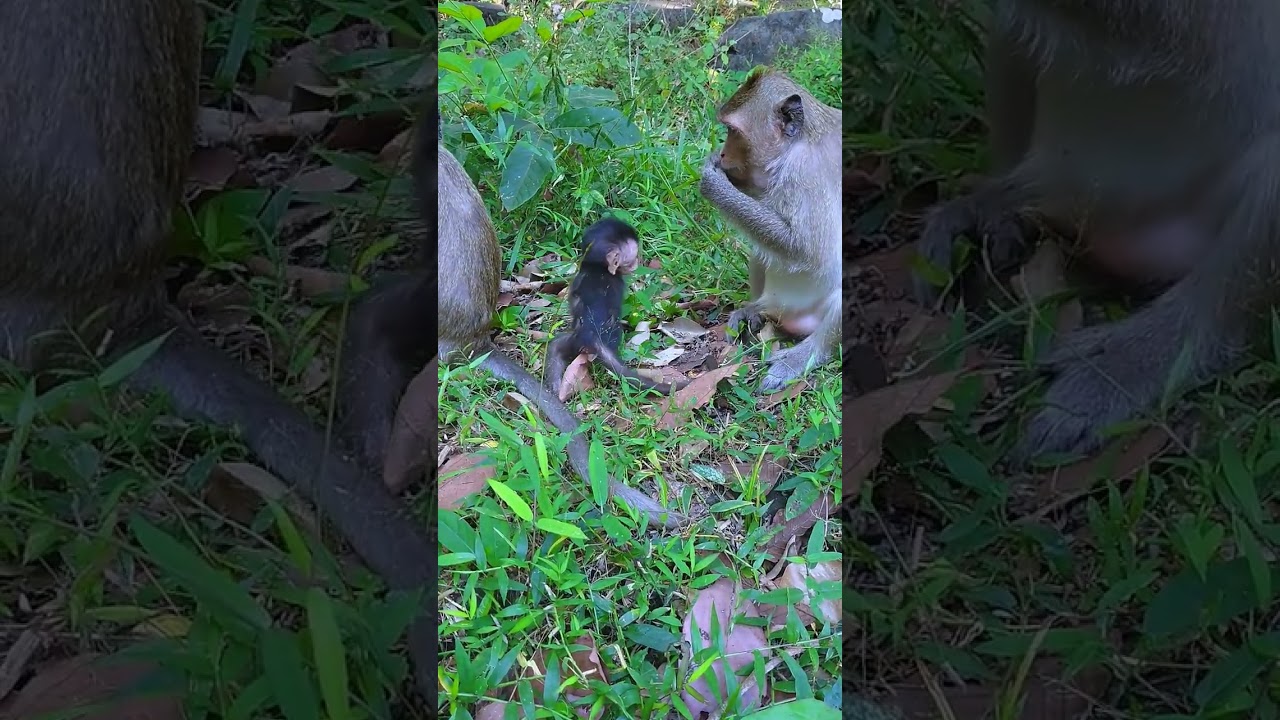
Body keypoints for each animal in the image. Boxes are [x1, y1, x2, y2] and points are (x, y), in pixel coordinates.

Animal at [542, 217, 689, 398]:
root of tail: (591, 336)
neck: (597, 267)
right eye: (632, 260)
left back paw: (555, 388)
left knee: (554, 346)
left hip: (573, 340)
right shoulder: (617, 282)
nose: (638, 263)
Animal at [698, 68, 842, 393]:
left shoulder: (806, 174)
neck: (801, 141)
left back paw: (806, 355)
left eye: (733, 131)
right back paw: (755, 309)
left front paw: (714, 184)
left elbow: (807, 250)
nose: (722, 154)